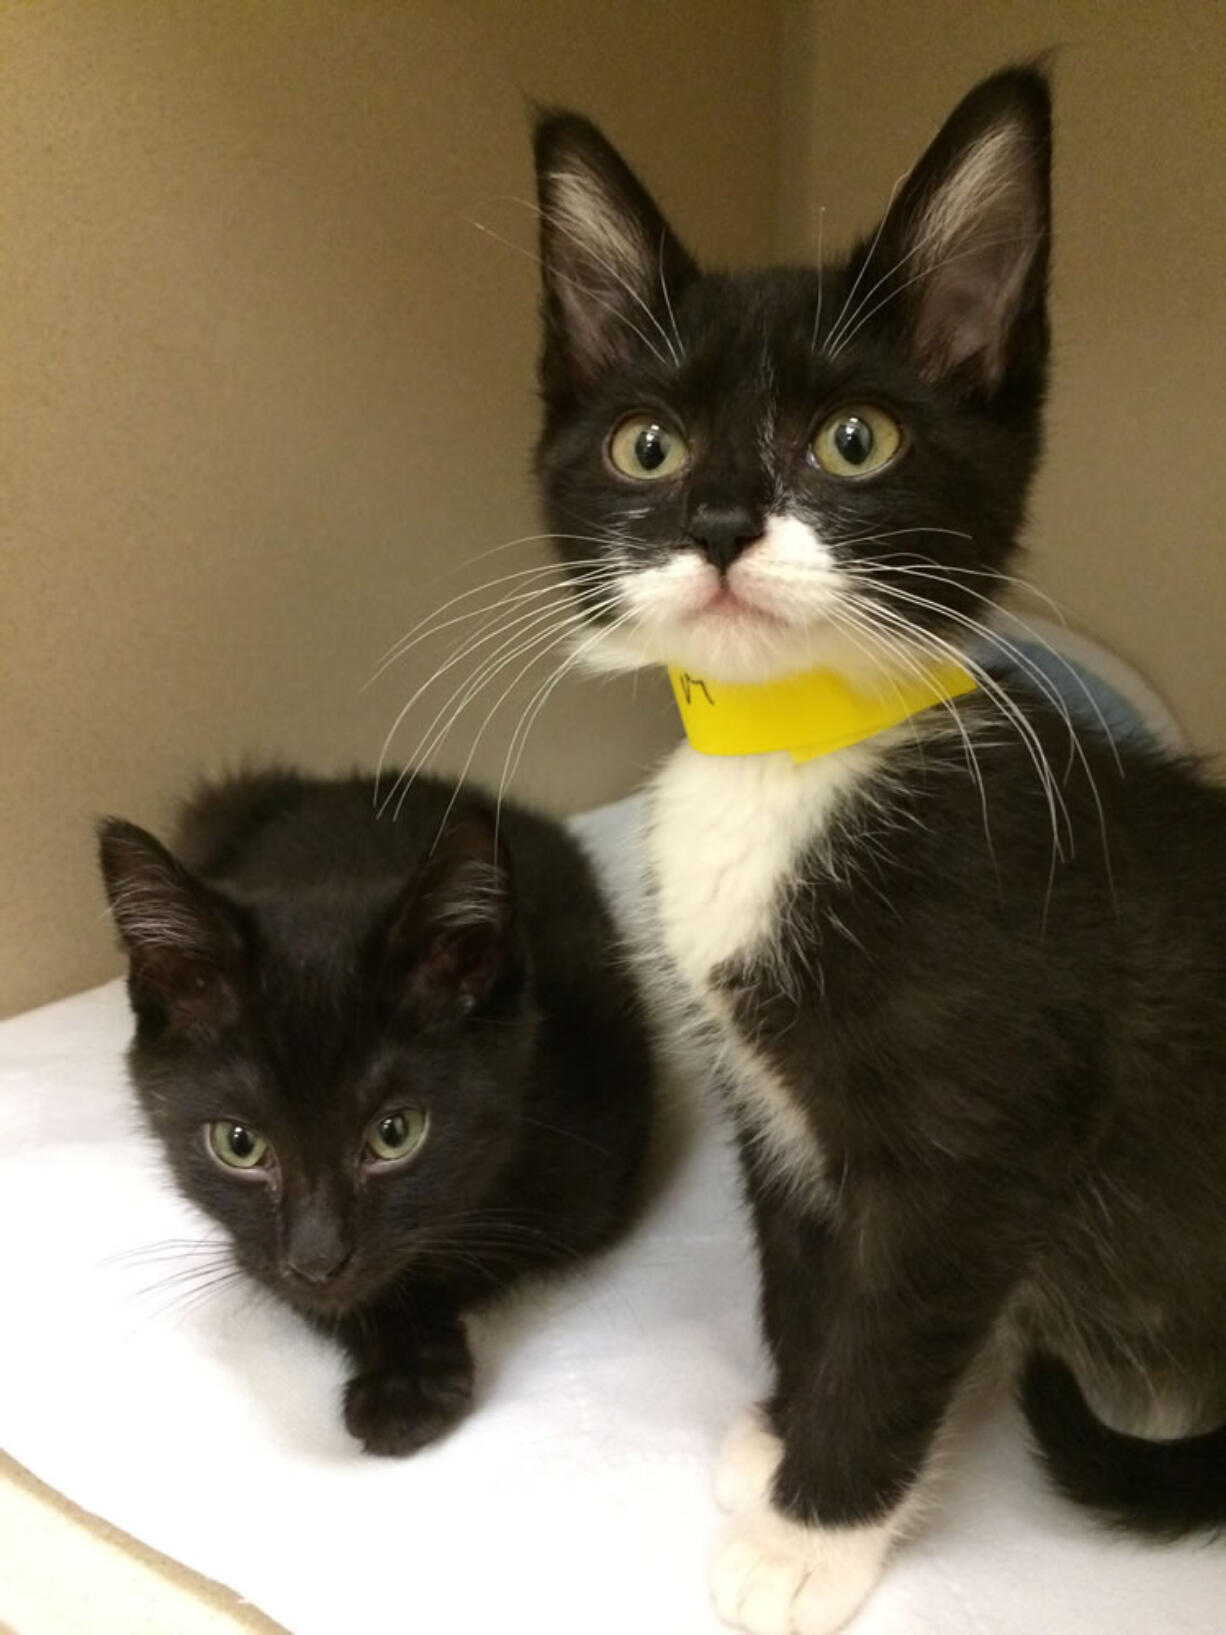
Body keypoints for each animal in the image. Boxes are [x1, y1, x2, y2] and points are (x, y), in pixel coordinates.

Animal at [98, 765, 653, 1458]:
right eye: (239, 1144)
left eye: (396, 1134)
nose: (317, 1262)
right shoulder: (253, 1249)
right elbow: (311, 1289)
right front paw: (405, 1375)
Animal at [529, 63, 1226, 1635]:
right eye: (647, 445)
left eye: (855, 440)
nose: (722, 522)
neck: (790, 753)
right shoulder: (774, 1109)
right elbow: (806, 1274)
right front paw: (782, 1430)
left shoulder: (985, 1126)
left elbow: (898, 1320)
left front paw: (812, 1530)